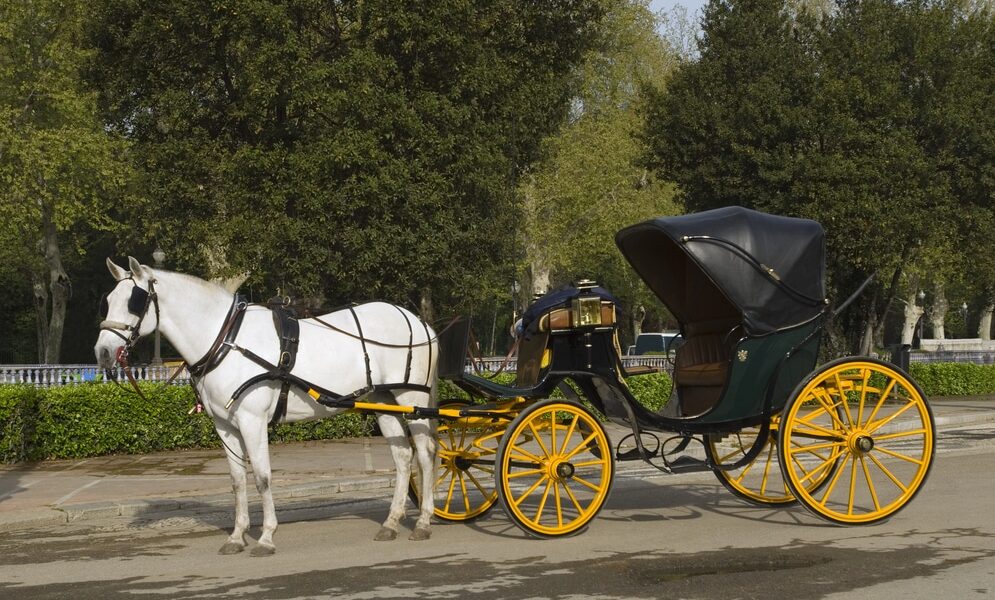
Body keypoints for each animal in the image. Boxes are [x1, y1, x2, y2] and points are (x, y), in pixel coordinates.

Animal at [94, 257, 439, 556]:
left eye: (134, 301)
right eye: (108, 300)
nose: (103, 353)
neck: (224, 341)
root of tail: (419, 321)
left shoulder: (252, 421)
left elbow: (262, 476)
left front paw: (266, 537)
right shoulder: (225, 426)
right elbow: (237, 480)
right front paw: (237, 536)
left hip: (412, 399)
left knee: (425, 454)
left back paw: (423, 521)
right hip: (384, 401)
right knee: (402, 457)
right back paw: (391, 522)